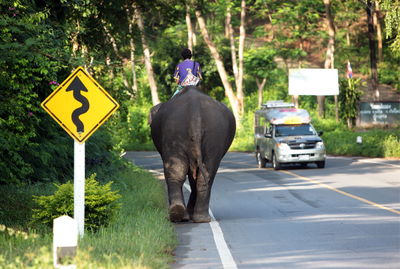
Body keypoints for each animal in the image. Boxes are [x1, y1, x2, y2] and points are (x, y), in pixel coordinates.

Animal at [151, 86, 238, 222]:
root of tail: (194, 110)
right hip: (212, 135)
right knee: (204, 174)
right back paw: (191, 216)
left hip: (177, 131)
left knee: (179, 171)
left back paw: (184, 215)